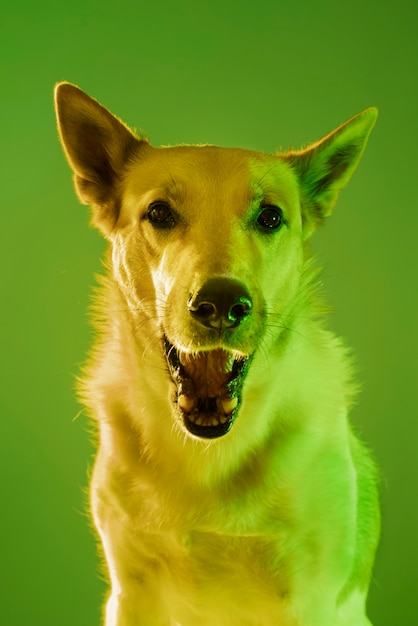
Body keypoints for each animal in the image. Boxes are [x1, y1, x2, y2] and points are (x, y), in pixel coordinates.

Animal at [54, 84, 380, 624]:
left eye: (270, 217)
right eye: (159, 213)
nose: (222, 303)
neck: (208, 458)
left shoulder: (312, 597)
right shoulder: (130, 592)